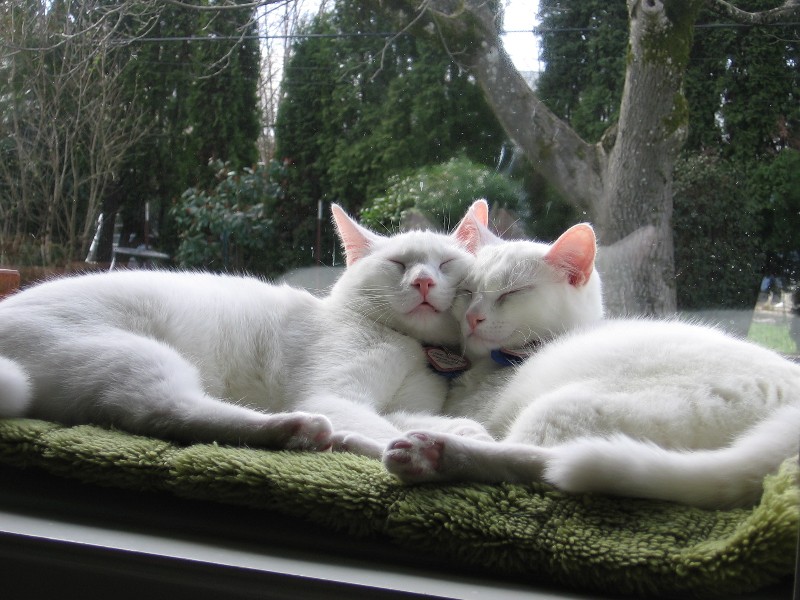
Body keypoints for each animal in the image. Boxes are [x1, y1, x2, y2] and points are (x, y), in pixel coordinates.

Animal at [0, 203, 492, 458]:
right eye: (399, 264)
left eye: (445, 264)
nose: (423, 282)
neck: (410, 347)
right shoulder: (335, 396)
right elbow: (384, 425)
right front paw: (422, 449)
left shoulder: (395, 404)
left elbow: (409, 417)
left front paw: (461, 431)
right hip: (135, 354)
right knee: (163, 411)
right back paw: (305, 430)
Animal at [384, 212, 800, 508]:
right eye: (468, 290)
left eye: (512, 293)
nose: (472, 317)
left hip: (565, 406)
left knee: (538, 459)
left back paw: (434, 454)